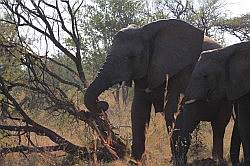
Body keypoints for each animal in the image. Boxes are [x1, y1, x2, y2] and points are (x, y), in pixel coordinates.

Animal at [84, 19, 207, 161]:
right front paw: (134, 161)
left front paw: (176, 159)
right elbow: (138, 109)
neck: (146, 31)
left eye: (132, 57)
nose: (103, 104)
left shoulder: (180, 68)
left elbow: (171, 109)